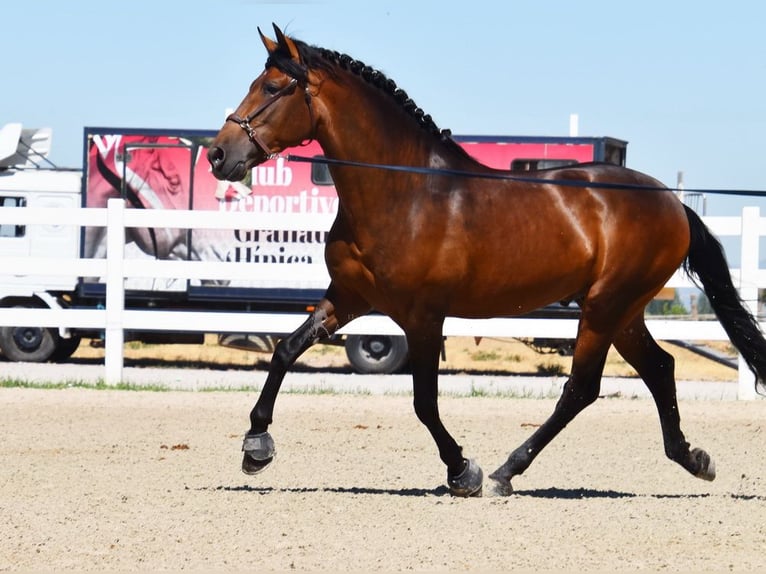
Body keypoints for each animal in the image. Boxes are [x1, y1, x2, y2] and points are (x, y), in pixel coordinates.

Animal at [207, 24, 766, 498]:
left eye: (272, 87)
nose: (217, 154)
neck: (403, 192)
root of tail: (671, 202)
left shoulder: (423, 317)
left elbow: (424, 401)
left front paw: (463, 471)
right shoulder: (348, 298)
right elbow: (285, 351)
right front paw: (256, 447)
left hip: (606, 306)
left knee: (581, 388)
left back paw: (504, 472)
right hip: (622, 311)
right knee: (660, 368)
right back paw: (692, 458)